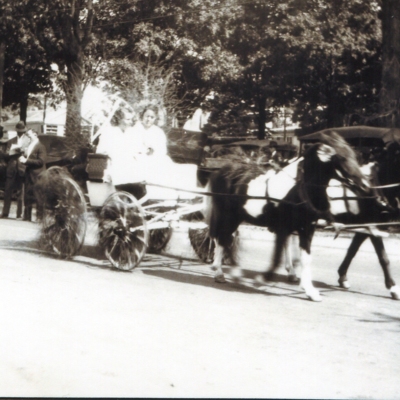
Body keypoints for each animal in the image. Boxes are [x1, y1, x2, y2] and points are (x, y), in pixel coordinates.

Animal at [205, 133, 370, 302]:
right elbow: (277, 257)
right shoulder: (283, 228)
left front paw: (310, 290)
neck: (298, 189)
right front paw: (262, 279)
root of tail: (221, 171)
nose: (365, 185)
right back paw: (223, 272)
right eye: (341, 158)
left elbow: (305, 258)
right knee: (223, 239)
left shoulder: (307, 228)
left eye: (354, 155)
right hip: (228, 217)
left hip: (235, 218)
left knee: (223, 239)